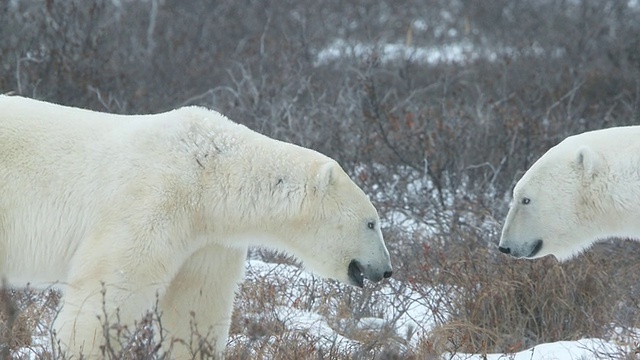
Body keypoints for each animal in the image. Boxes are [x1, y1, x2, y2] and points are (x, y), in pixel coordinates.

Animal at [0, 95, 392, 358]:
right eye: (371, 223)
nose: (386, 270)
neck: (207, 171)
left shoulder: (209, 237)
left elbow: (197, 303)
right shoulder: (152, 201)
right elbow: (112, 285)